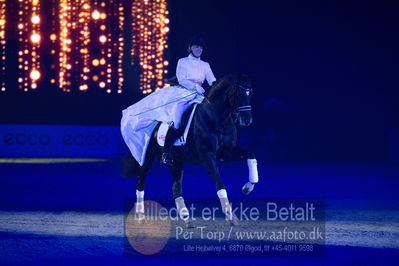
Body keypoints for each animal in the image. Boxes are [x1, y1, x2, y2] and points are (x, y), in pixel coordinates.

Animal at [126, 74, 260, 225]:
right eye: (239, 93)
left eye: (251, 93)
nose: (247, 120)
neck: (216, 118)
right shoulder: (207, 157)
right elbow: (219, 183)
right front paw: (230, 215)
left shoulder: (225, 153)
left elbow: (251, 154)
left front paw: (248, 187)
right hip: (148, 157)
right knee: (141, 181)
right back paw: (140, 215)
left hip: (176, 161)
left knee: (176, 187)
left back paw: (186, 218)